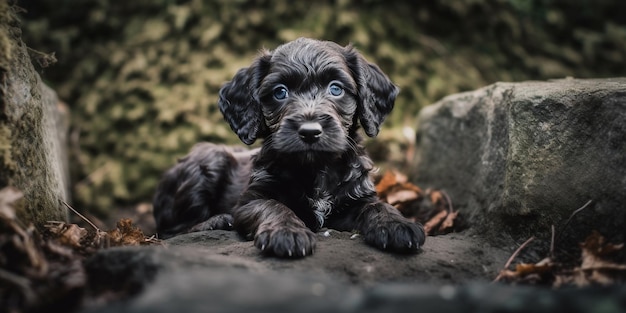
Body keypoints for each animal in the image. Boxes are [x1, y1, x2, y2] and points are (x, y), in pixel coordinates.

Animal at [152, 37, 424, 256]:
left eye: (336, 88)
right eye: (280, 92)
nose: (310, 131)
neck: (316, 168)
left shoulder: (355, 198)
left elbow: (377, 205)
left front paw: (398, 225)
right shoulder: (251, 199)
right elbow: (273, 205)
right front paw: (286, 233)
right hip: (207, 162)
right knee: (170, 231)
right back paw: (217, 221)